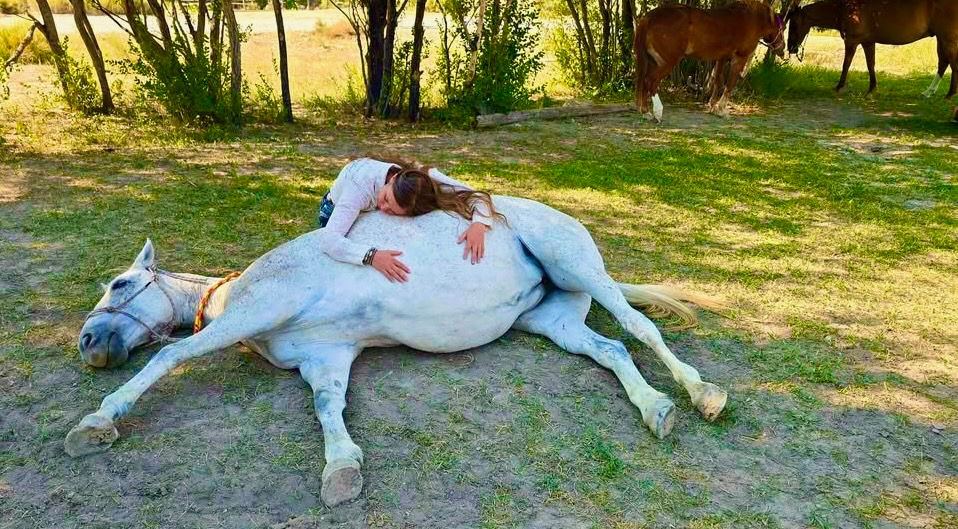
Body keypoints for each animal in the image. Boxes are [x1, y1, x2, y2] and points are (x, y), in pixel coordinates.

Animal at [65, 196, 729, 507]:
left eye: (120, 284)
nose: (89, 342)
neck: (240, 291)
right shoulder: (327, 359)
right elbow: (328, 410)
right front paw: (342, 468)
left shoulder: (258, 311)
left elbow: (169, 357)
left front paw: (98, 420)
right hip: (553, 319)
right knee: (612, 349)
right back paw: (656, 408)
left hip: (578, 268)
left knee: (640, 327)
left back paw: (703, 393)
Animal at [633, 0, 784, 122]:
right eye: (781, 28)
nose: (782, 48)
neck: (750, 19)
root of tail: (649, 18)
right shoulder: (739, 58)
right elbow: (729, 85)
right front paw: (721, 110)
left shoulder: (722, 58)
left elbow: (717, 81)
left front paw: (712, 107)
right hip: (667, 62)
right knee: (650, 81)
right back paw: (657, 112)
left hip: (653, 61)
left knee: (643, 81)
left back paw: (645, 111)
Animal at [786, 0, 958, 98]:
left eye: (793, 24)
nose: (791, 48)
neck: (846, 8)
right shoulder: (868, 42)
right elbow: (871, 65)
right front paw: (872, 89)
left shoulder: (852, 41)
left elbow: (846, 64)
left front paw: (839, 87)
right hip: (941, 38)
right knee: (944, 62)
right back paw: (929, 92)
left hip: (947, 38)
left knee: (952, 63)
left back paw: (950, 94)